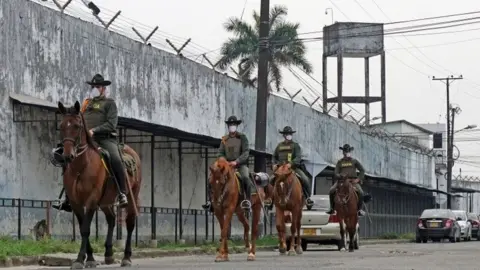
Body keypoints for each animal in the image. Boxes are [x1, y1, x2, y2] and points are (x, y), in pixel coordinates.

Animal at [56, 101, 141, 268]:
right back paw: (108, 254)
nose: (68, 156)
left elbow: (85, 229)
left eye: (77, 126)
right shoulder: (76, 202)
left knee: (129, 223)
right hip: (105, 201)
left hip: (132, 195)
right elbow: (83, 227)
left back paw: (126, 257)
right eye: (61, 126)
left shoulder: (91, 200)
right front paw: (89, 258)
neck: (81, 167)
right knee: (112, 218)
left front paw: (80, 259)